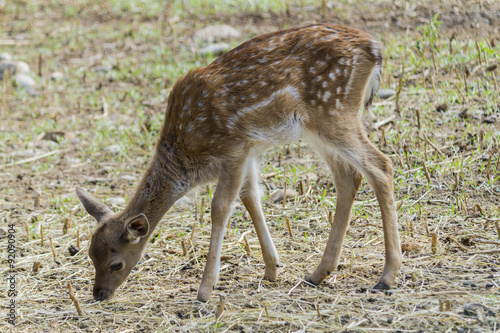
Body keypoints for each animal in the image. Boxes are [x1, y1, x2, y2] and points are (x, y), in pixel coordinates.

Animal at [77, 24, 402, 302]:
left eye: (116, 263)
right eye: (90, 255)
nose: (99, 294)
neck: (187, 157)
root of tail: (374, 50)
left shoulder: (232, 148)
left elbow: (220, 207)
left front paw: (205, 290)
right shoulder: (248, 152)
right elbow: (250, 197)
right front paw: (272, 268)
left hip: (334, 111)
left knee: (381, 165)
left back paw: (386, 277)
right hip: (319, 125)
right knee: (349, 177)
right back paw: (318, 273)